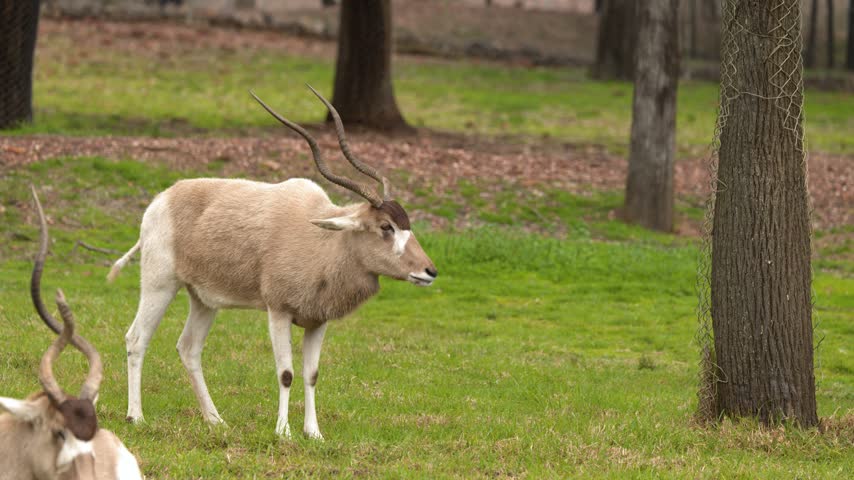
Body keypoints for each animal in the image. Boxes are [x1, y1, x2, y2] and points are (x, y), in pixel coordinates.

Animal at [109, 85, 438, 439]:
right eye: (386, 227)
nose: (429, 271)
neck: (323, 241)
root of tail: (161, 200)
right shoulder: (278, 312)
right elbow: (286, 372)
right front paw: (284, 432)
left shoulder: (317, 321)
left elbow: (311, 374)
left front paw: (314, 433)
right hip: (160, 284)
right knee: (137, 339)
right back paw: (136, 416)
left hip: (203, 299)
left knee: (189, 348)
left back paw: (215, 420)